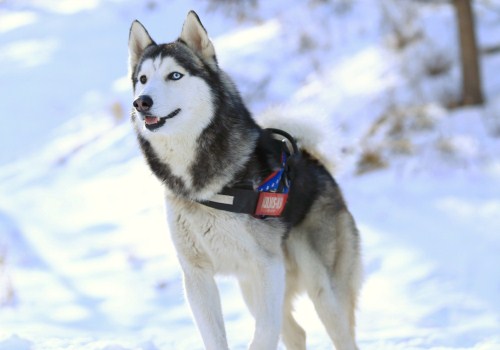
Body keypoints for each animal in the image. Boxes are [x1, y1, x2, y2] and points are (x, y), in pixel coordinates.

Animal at [129, 10, 362, 350]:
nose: (141, 102)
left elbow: (262, 335)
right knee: (296, 333)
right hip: (252, 288)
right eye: (143, 79)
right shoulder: (197, 275)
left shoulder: (267, 267)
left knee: (341, 333)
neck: (200, 181)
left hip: (321, 289)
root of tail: (313, 159)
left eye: (175, 76)